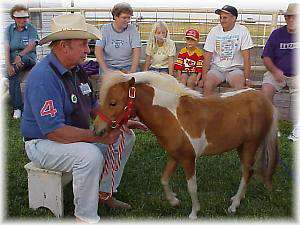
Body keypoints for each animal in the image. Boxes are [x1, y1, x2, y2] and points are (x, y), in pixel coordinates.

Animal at [93, 71, 278, 219]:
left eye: (113, 102)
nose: (96, 130)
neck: (174, 117)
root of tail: (263, 100)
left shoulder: (189, 159)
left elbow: (192, 187)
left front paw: (194, 213)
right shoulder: (175, 156)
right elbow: (164, 180)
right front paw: (174, 202)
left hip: (250, 145)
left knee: (247, 173)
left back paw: (233, 206)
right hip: (241, 146)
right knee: (249, 172)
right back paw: (236, 199)